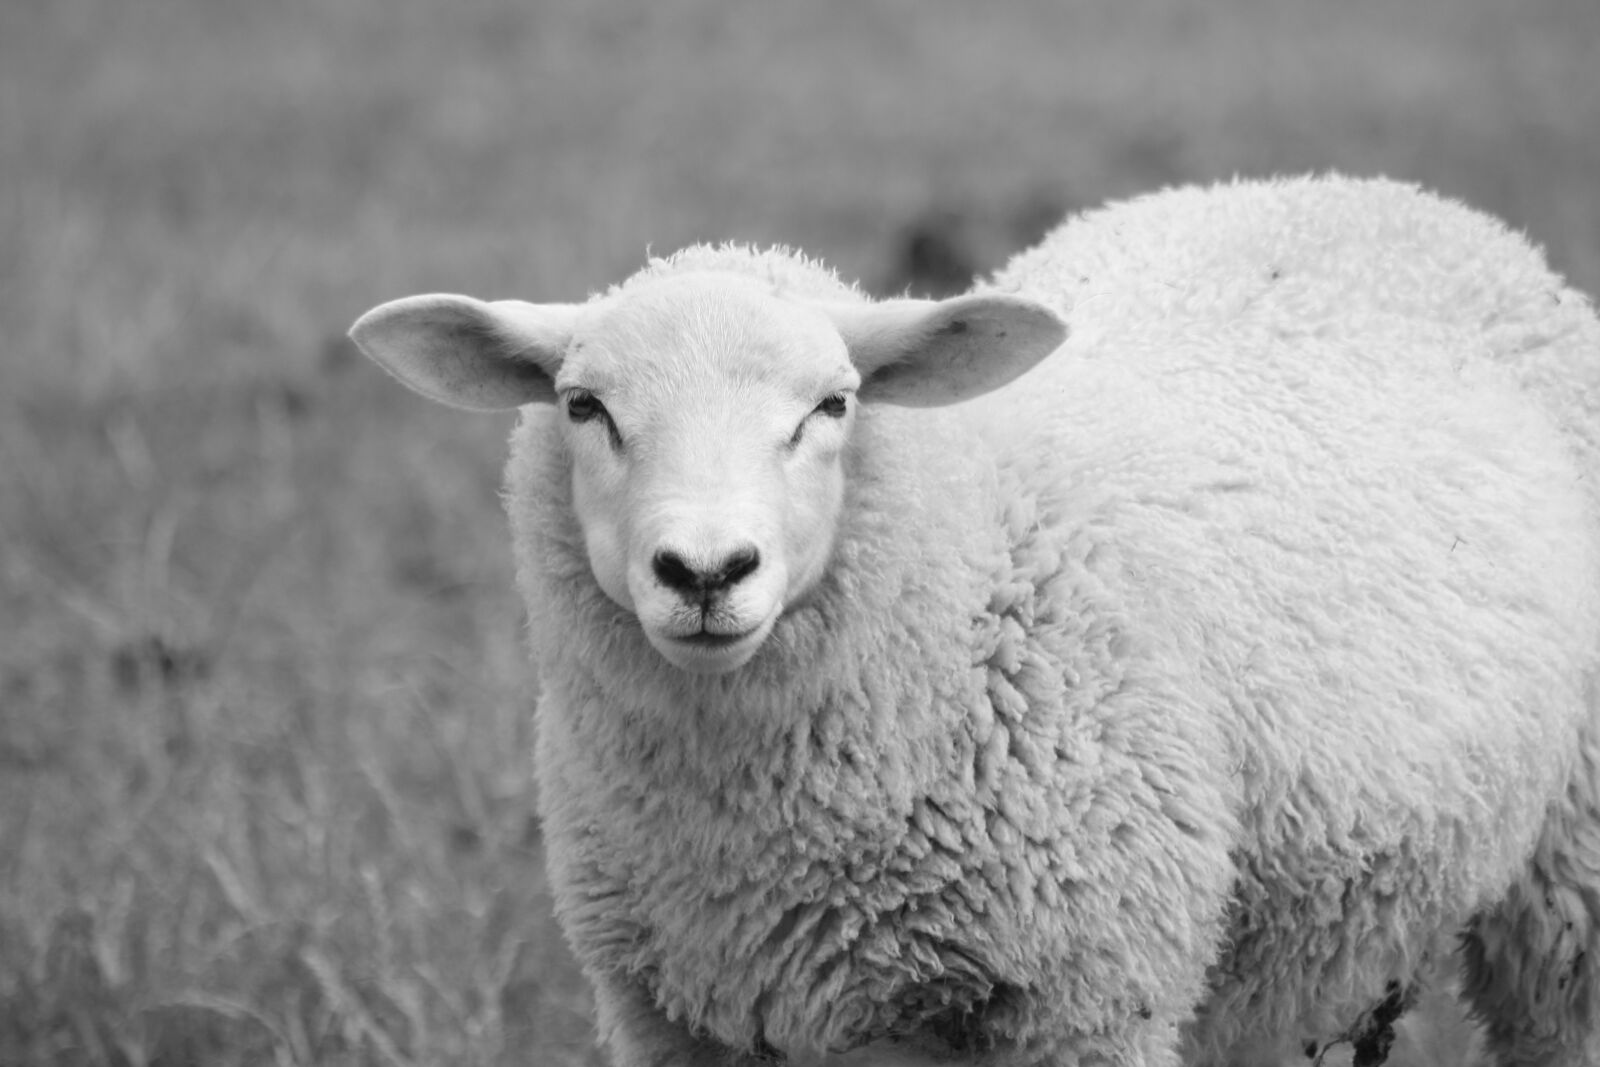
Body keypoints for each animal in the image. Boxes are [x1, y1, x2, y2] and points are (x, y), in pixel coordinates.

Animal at [349, 175, 1600, 1067]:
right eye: (582, 406)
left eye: (832, 405)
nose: (705, 569)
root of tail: (1390, 194)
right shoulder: (678, 1017)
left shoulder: (1087, 995)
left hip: (1569, 886)